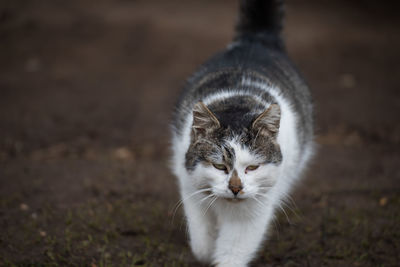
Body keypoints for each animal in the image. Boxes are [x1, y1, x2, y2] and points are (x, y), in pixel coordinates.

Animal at [170, 0, 314, 266]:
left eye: (253, 167)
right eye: (219, 166)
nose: (236, 188)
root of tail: (257, 39)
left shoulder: (252, 211)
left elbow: (232, 252)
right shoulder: (191, 189)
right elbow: (202, 244)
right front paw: (207, 250)